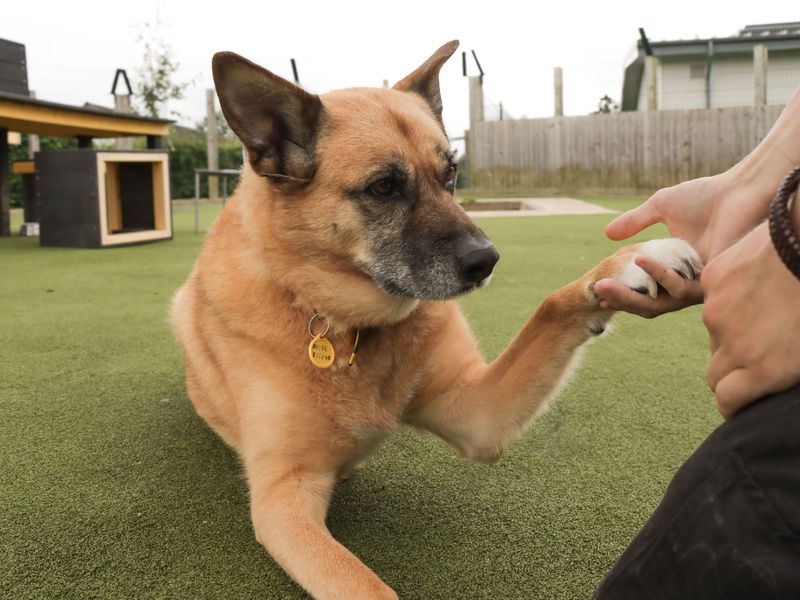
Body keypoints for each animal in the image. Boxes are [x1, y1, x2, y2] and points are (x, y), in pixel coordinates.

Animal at [169, 39, 700, 596]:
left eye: (449, 175)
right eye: (383, 187)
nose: (487, 261)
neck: (344, 326)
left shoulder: (475, 415)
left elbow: (550, 307)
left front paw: (630, 260)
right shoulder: (283, 498)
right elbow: (365, 585)